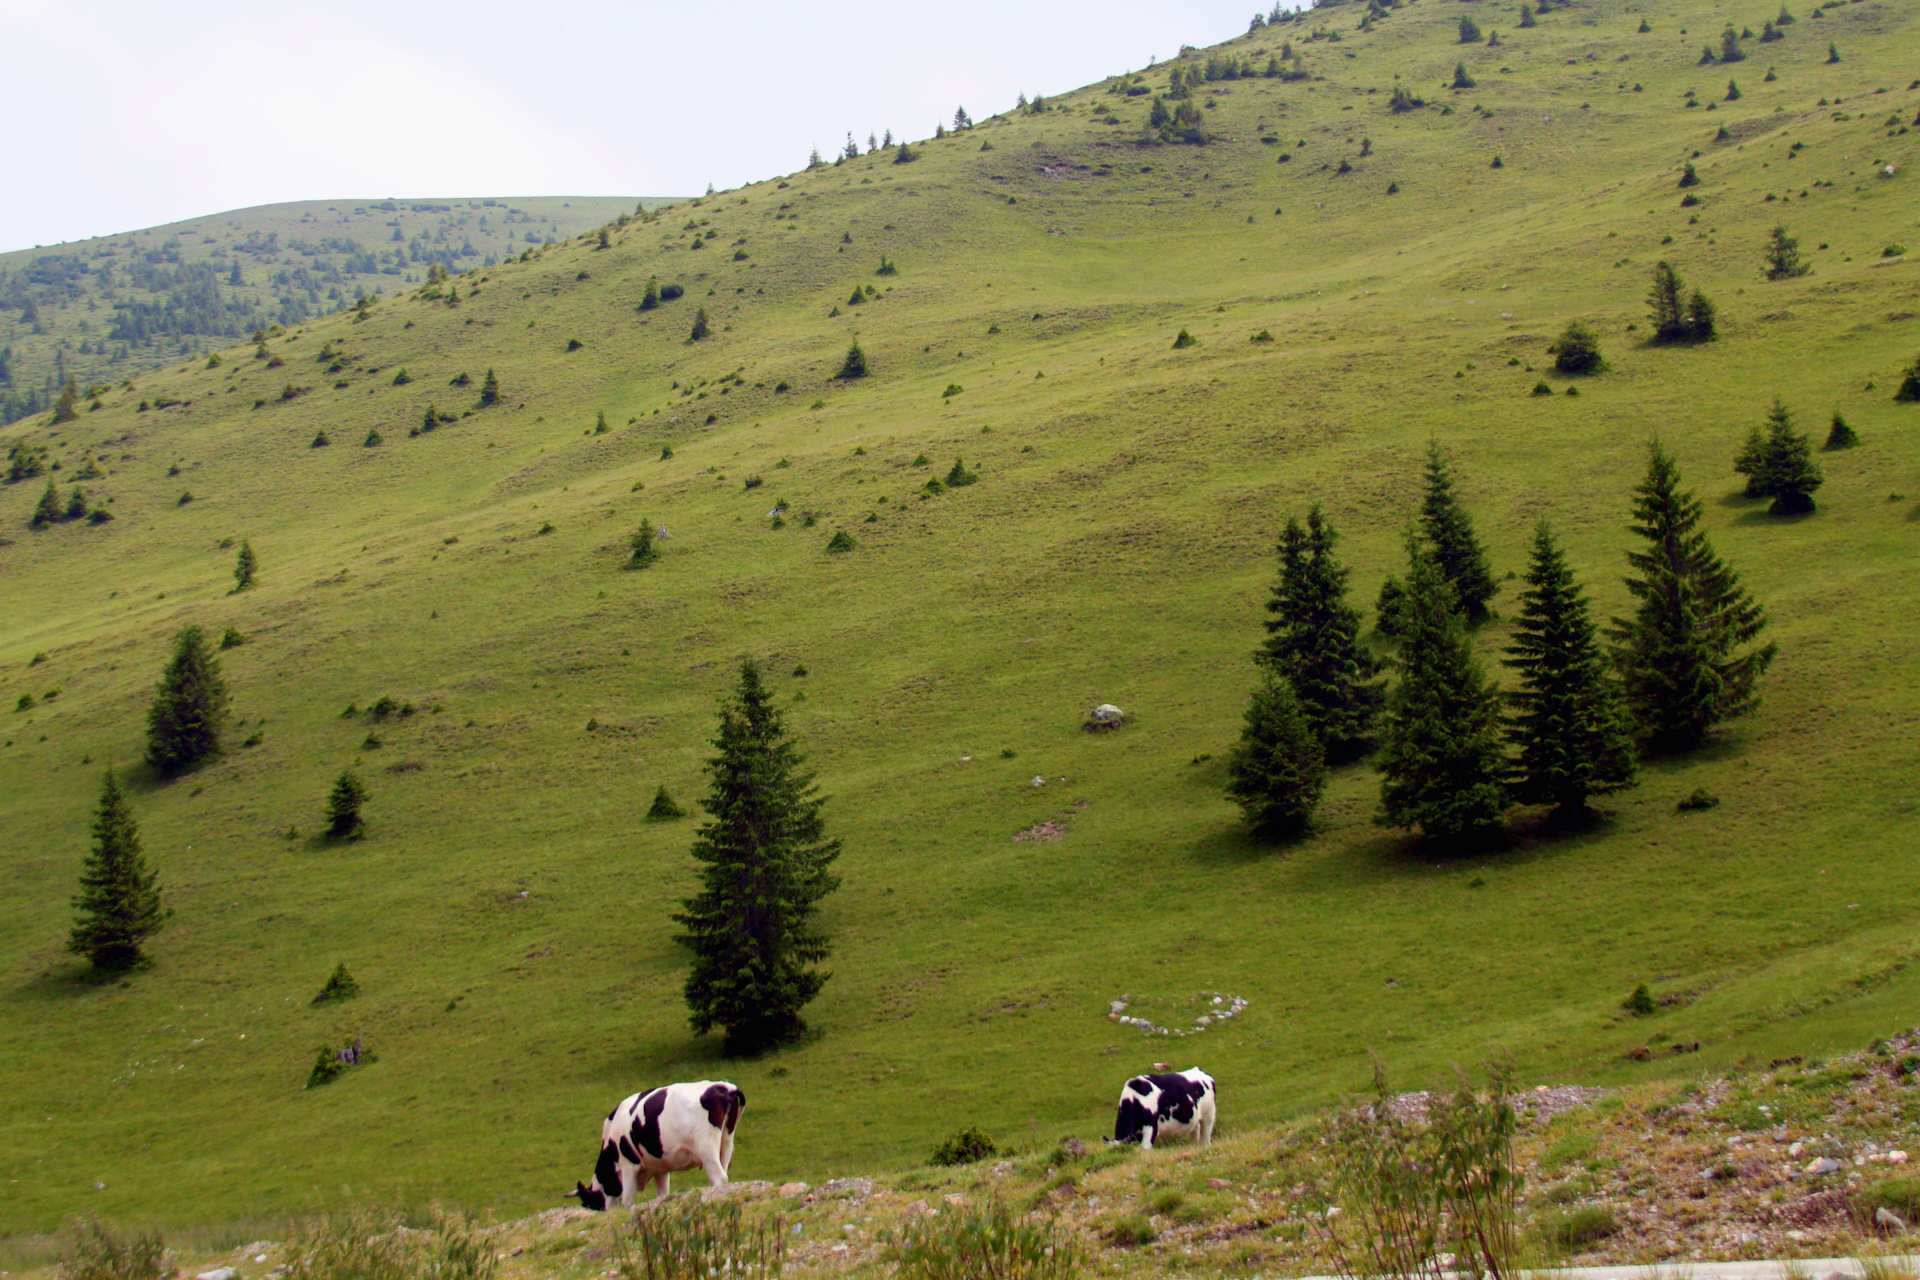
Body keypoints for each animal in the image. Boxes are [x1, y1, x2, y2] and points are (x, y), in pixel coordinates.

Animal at [560, 1082, 741, 1212]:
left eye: (589, 1204)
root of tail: (723, 1087)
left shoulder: (628, 1166)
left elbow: (627, 1202)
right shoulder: (661, 1169)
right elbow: (662, 1195)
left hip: (706, 1149)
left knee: (719, 1177)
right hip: (726, 1141)